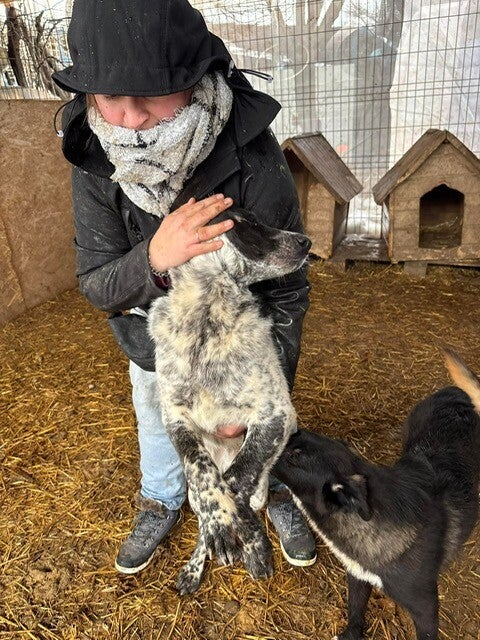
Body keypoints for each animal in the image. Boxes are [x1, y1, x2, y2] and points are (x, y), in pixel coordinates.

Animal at [148, 207, 311, 594]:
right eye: (245, 223)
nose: (306, 241)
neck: (208, 319)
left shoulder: (275, 416)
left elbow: (236, 479)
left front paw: (243, 536)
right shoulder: (175, 417)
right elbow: (203, 473)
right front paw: (220, 527)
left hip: (264, 479)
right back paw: (197, 564)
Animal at [273, 349, 480, 640]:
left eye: (294, 456)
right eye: (296, 432)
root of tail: (455, 390)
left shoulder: (426, 609)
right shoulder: (358, 575)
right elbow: (356, 612)